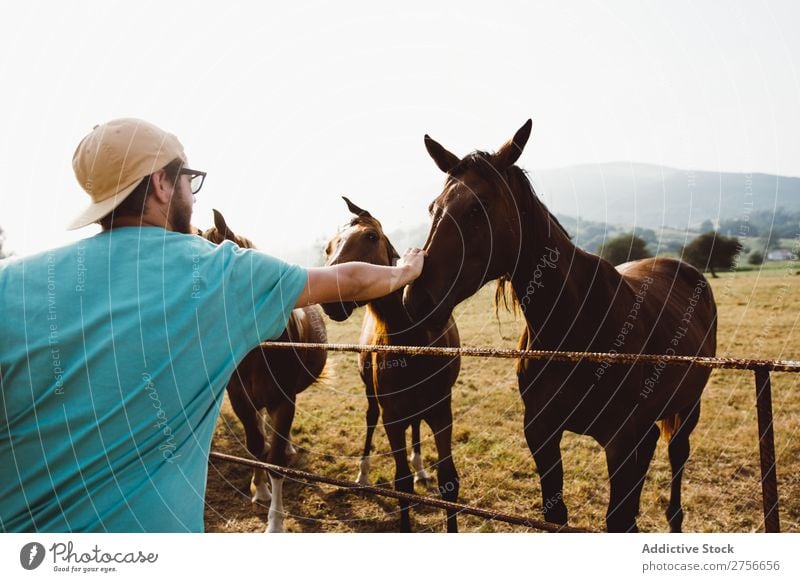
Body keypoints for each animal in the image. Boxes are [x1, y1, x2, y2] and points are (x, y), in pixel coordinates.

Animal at [199, 209, 324, 532]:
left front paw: (275, 522)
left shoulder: (284, 400)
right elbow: (256, 448)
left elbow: (275, 460)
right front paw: (261, 490)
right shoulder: (241, 400)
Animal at [320, 200, 462, 532]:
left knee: (417, 426)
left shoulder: (442, 410)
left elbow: (448, 481)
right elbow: (402, 484)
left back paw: (421, 467)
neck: (415, 338)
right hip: (374, 399)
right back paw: (363, 473)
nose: (332, 297)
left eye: (371, 236)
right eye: (327, 247)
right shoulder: (392, 417)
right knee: (370, 420)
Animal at [406, 122, 720, 532]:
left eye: (478, 208)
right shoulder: (542, 432)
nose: (415, 300)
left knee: (677, 454)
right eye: (433, 208)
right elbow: (557, 514)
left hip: (687, 407)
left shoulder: (619, 439)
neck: (573, 327)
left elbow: (617, 518)